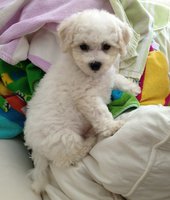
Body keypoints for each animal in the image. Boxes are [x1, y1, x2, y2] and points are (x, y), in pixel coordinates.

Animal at [24, 9, 141, 194]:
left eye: (106, 46)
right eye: (83, 46)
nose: (95, 64)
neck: (89, 74)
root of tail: (35, 148)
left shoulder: (108, 76)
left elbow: (117, 78)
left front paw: (133, 87)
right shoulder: (87, 98)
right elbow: (101, 113)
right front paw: (112, 127)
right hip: (66, 137)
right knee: (68, 158)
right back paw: (90, 139)